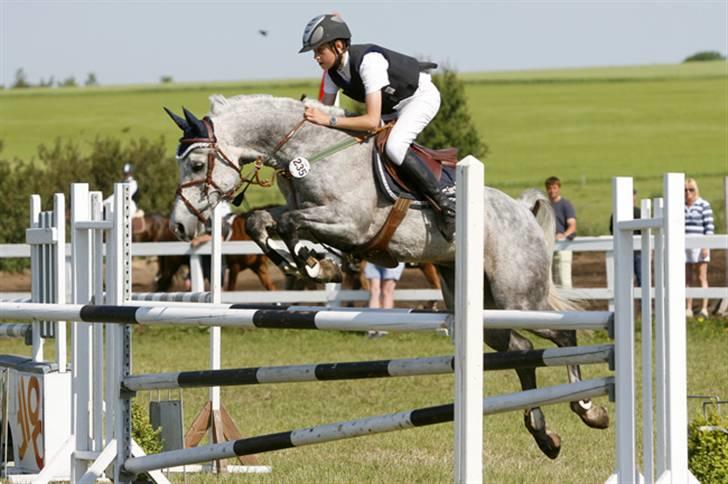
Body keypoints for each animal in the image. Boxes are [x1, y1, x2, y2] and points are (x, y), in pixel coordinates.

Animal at [165, 93, 608, 458]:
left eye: (197, 163)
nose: (180, 226)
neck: (312, 151)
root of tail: (522, 211)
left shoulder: (350, 223)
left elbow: (292, 224)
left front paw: (316, 261)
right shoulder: (311, 215)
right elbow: (263, 220)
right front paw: (305, 261)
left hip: (516, 296)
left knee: (563, 334)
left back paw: (589, 409)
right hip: (478, 304)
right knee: (519, 349)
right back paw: (544, 435)